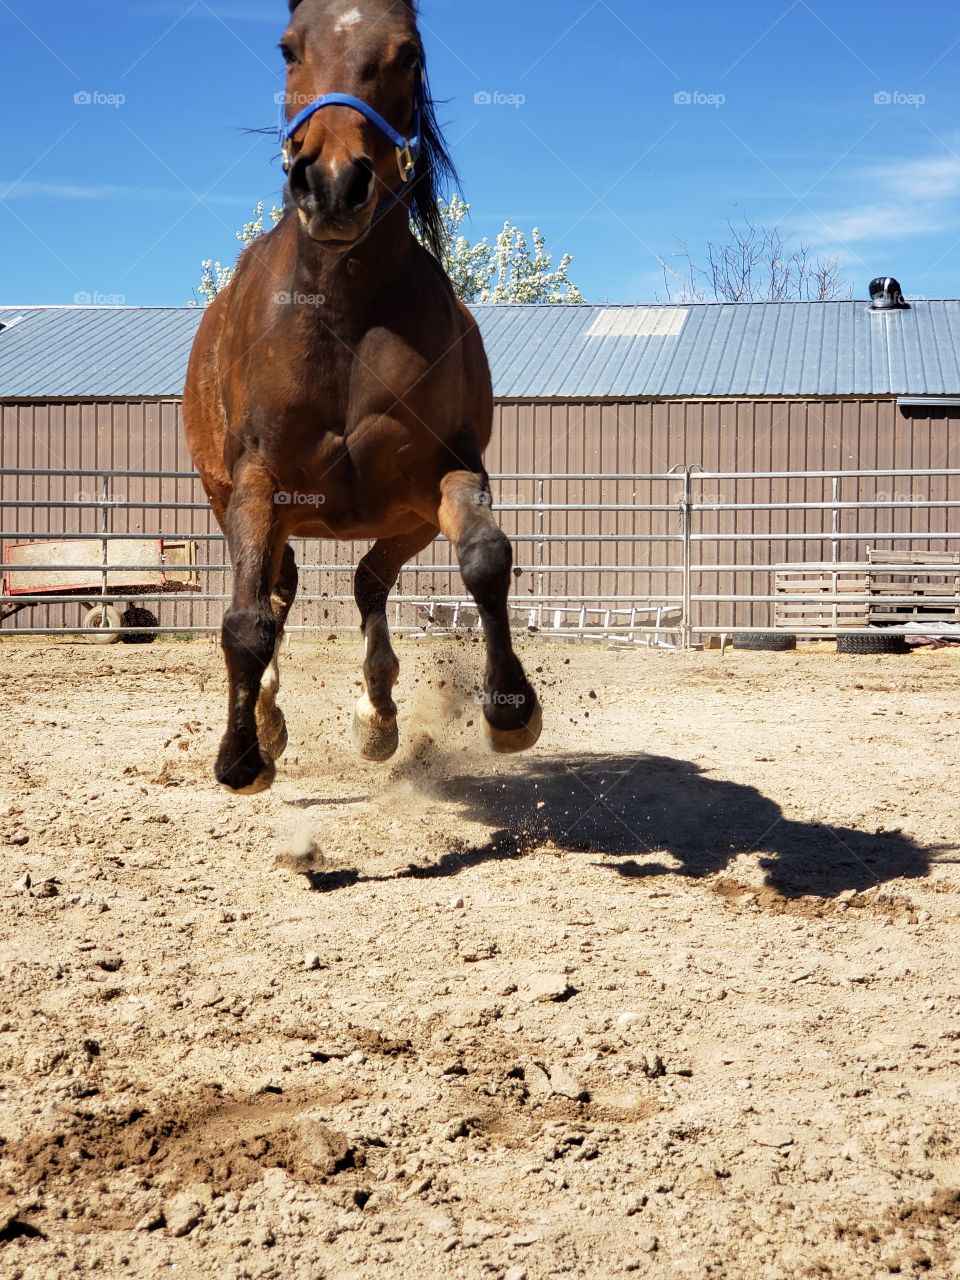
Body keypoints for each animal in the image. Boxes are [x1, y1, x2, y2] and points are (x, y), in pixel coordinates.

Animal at [183, 0, 542, 794]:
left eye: (407, 53)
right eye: (289, 49)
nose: (334, 183)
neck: (340, 312)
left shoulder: (448, 470)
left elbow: (485, 558)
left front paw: (511, 710)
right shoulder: (256, 484)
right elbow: (245, 622)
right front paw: (241, 756)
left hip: (405, 519)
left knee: (369, 582)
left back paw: (377, 718)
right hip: (239, 504)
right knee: (278, 592)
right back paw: (269, 722)